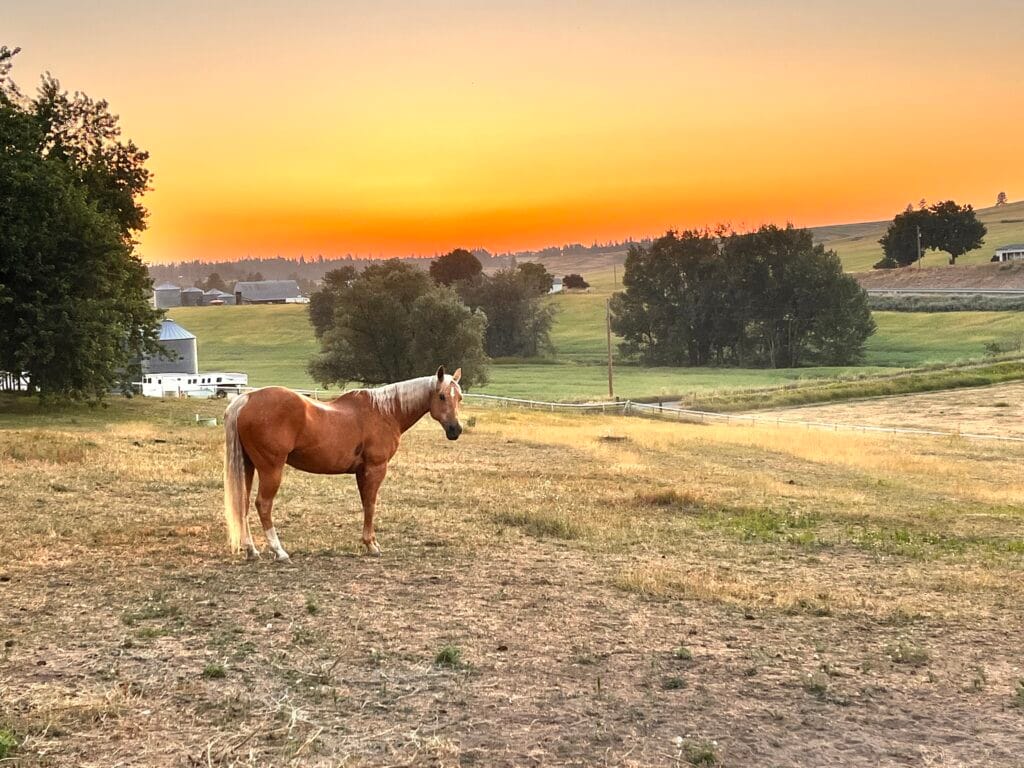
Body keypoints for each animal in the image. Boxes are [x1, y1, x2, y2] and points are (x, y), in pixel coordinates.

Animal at [223, 366, 463, 561]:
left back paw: (251, 550)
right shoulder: (375, 469)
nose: (456, 430)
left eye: (459, 397)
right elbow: (371, 504)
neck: (385, 412)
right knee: (263, 505)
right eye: (442, 396)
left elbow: (365, 503)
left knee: (243, 504)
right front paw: (371, 546)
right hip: (271, 469)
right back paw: (279, 551)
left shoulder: (361, 472)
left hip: (248, 466)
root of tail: (246, 399)